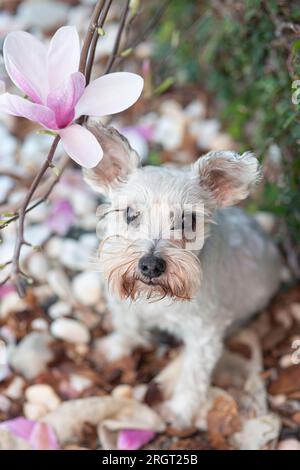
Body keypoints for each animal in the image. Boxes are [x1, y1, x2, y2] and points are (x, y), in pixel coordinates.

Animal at [83, 123, 282, 428]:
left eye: (189, 220)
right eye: (130, 213)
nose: (151, 265)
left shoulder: (205, 336)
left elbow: (193, 375)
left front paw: (181, 410)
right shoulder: (123, 303)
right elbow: (127, 325)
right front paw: (116, 347)